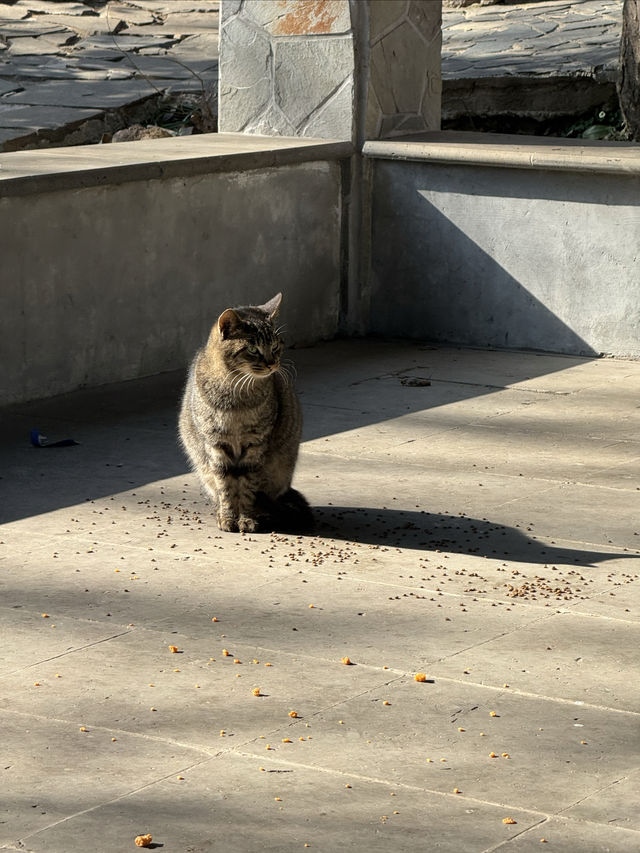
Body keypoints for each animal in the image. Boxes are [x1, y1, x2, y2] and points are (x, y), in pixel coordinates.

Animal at [179, 292, 312, 532]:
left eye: (276, 346)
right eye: (253, 349)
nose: (272, 364)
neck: (235, 396)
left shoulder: (255, 444)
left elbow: (248, 486)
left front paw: (246, 518)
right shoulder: (216, 444)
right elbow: (225, 486)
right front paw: (228, 517)